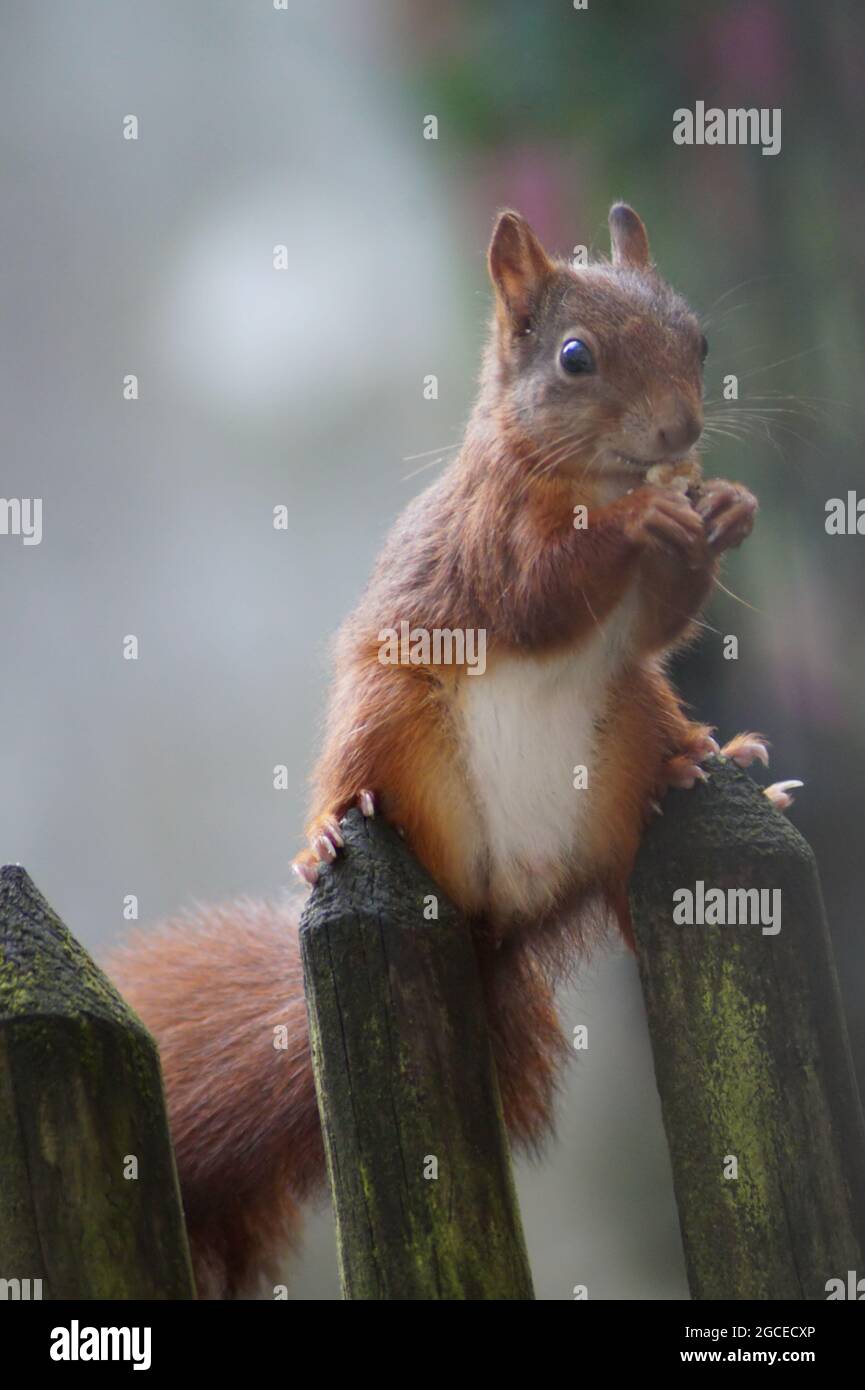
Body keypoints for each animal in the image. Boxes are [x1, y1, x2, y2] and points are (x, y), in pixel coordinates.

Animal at [109, 202, 806, 1289]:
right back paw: (328, 833)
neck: (587, 474)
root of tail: (506, 906)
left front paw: (722, 510)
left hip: (627, 720)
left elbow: (656, 624)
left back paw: (709, 764)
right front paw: (642, 518)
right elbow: (540, 591)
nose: (680, 434)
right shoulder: (490, 538)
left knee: (638, 822)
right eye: (574, 358)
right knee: (362, 773)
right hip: (392, 712)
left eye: (699, 340)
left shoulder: (637, 632)